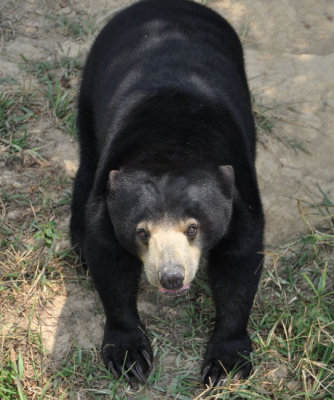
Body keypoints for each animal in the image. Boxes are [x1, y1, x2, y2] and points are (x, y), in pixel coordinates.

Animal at [70, 0, 264, 388]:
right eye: (142, 232)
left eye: (193, 228)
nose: (171, 278)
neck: (174, 143)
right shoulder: (108, 199)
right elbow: (109, 260)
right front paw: (129, 357)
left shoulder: (241, 194)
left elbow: (240, 262)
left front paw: (226, 364)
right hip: (89, 90)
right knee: (85, 161)